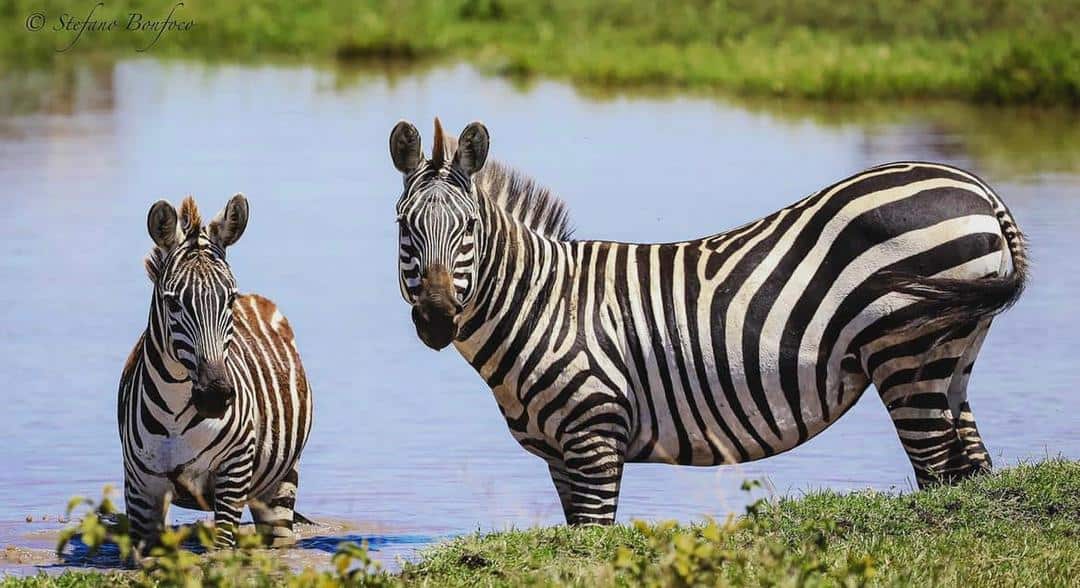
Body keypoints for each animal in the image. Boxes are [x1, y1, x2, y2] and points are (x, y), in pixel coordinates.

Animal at [118, 194, 313, 548]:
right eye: (173, 303)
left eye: (229, 299)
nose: (215, 395)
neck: (175, 411)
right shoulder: (140, 489)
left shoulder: (233, 472)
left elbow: (222, 552)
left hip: (280, 481)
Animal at [389, 119, 1028, 525]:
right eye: (404, 227)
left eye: (469, 228)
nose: (438, 320)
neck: (541, 307)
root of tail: (979, 190)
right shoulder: (560, 457)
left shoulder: (595, 436)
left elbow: (594, 541)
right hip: (954, 356)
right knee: (971, 470)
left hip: (907, 354)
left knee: (938, 472)